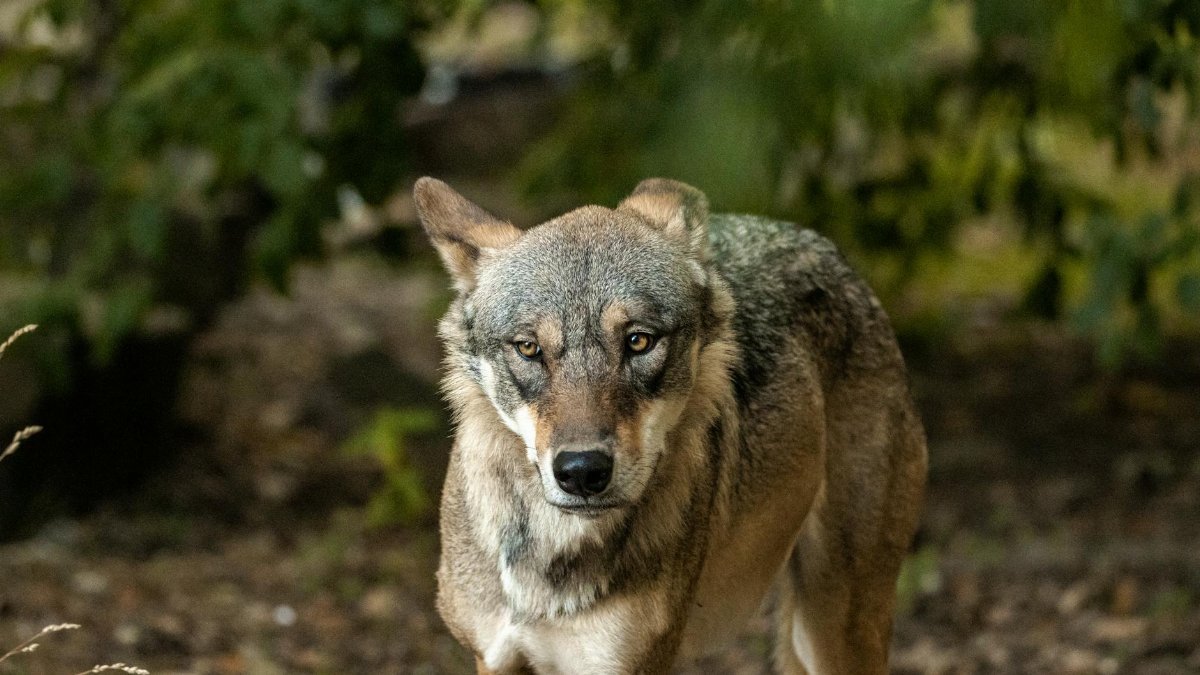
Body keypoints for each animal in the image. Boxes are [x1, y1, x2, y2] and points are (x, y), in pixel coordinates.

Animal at [414, 176, 927, 674]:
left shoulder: (633, 664)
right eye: (528, 348)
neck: (551, 560)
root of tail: (820, 244)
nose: (582, 471)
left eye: (639, 341)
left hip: (835, 630)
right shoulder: (492, 657)